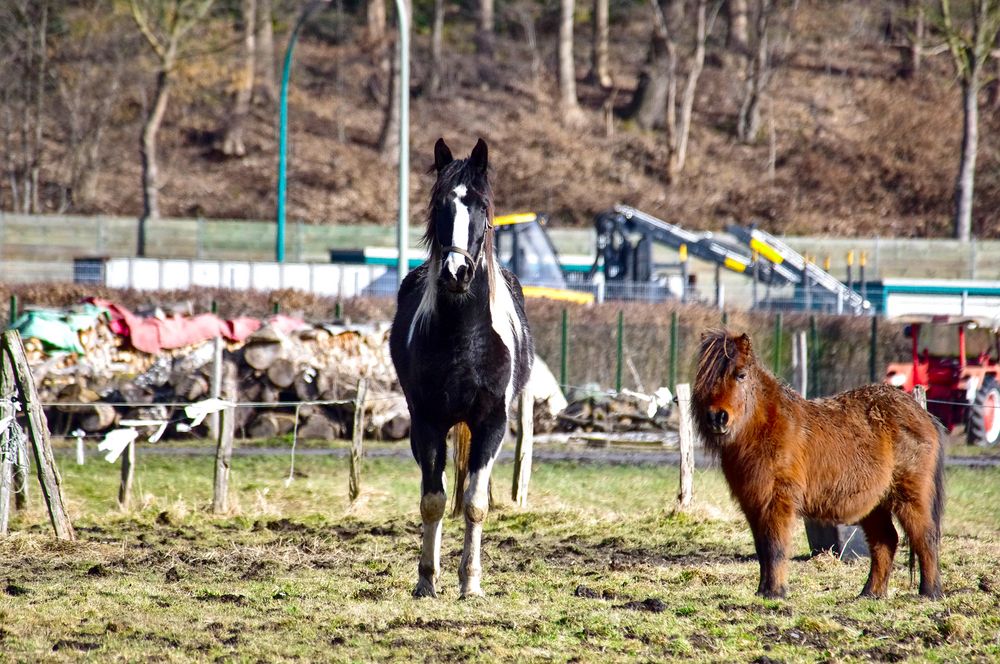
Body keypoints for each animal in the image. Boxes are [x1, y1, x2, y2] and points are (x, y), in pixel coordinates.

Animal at [388, 137, 536, 600]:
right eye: (439, 204)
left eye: (483, 206)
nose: (456, 271)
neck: (464, 338)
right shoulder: (427, 422)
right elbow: (432, 500)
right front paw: (426, 579)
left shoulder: (491, 423)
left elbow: (474, 504)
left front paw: (470, 583)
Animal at [696, 330, 944, 600]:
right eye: (705, 377)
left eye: (740, 374)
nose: (717, 418)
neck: (769, 429)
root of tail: (922, 414)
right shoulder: (753, 504)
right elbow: (762, 549)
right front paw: (763, 591)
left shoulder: (777, 502)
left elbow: (775, 547)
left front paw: (776, 592)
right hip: (875, 504)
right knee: (885, 541)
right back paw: (870, 593)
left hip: (910, 496)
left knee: (925, 538)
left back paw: (930, 592)